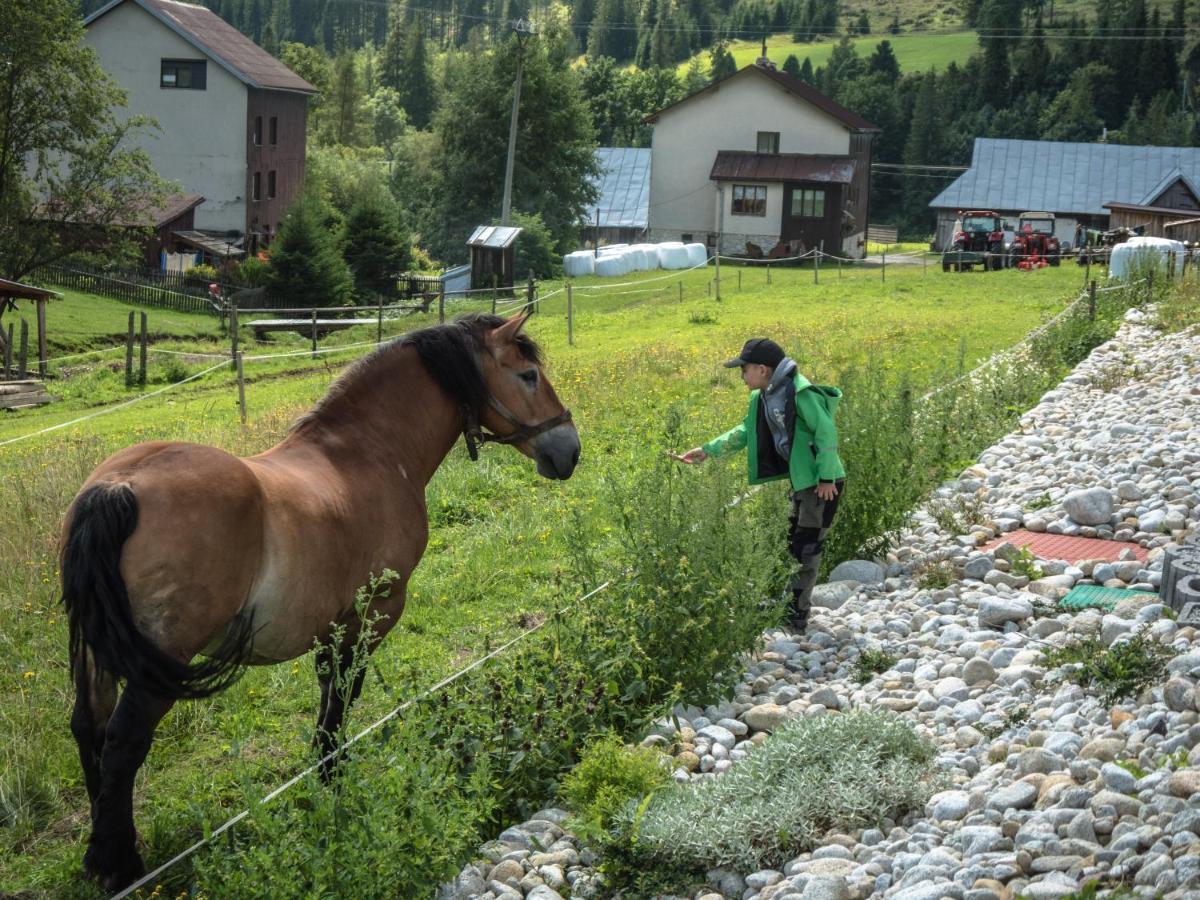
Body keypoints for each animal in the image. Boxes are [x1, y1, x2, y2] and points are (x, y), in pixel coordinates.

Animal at [58, 314, 578, 892]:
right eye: (529, 374)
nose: (569, 449)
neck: (365, 453)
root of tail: (116, 487)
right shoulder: (373, 615)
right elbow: (342, 701)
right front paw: (333, 781)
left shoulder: (332, 624)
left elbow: (330, 695)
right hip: (161, 660)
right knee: (123, 743)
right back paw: (120, 864)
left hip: (99, 652)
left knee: (89, 727)